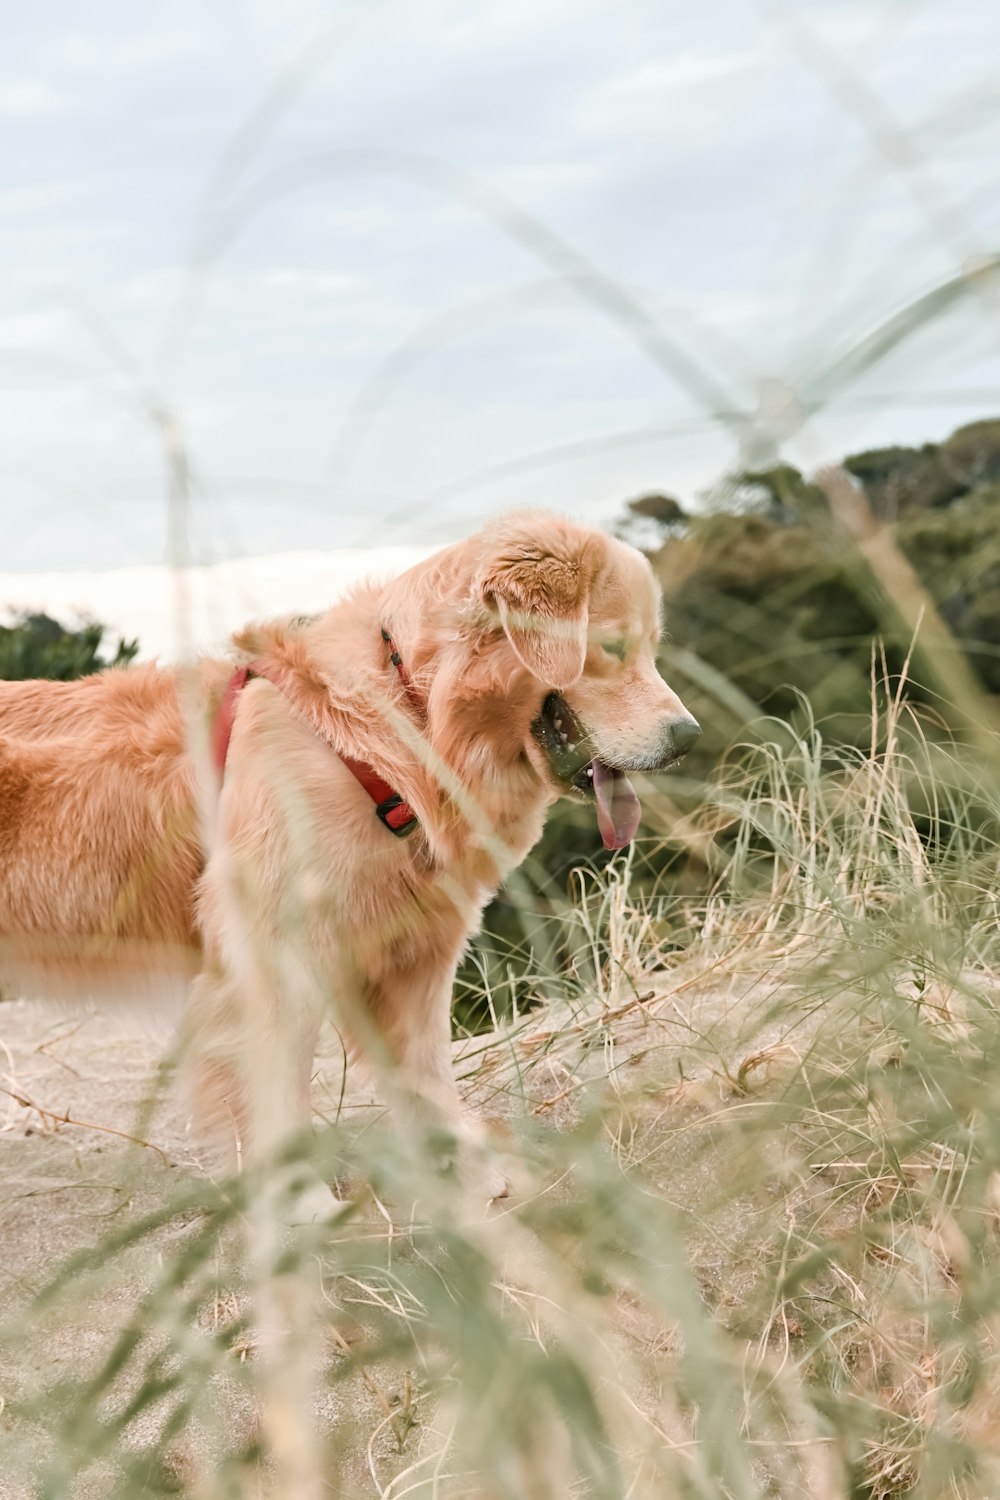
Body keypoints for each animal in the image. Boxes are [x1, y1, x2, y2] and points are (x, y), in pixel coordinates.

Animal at [0, 510, 695, 1212]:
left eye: (651, 647)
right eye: (612, 647)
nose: (689, 737)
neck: (405, 723)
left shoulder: (413, 955)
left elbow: (427, 1075)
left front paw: (468, 1178)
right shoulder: (275, 959)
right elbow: (277, 1093)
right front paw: (300, 1204)